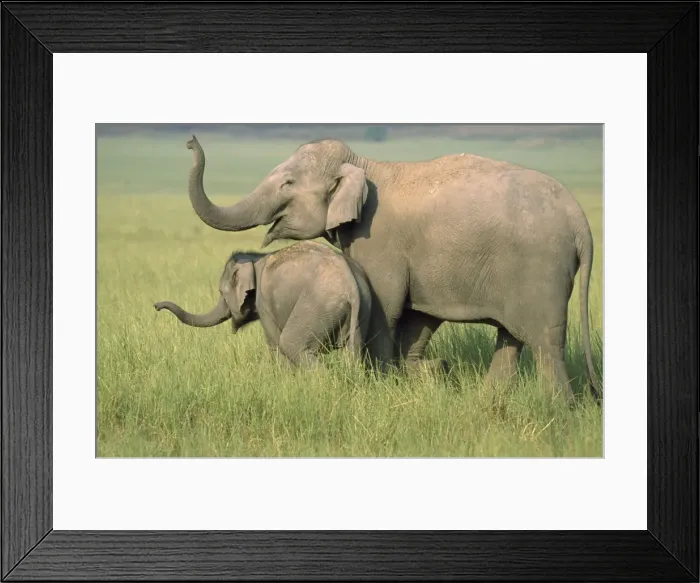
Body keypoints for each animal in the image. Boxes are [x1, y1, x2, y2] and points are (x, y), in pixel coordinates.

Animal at [153, 240, 374, 367]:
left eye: (221, 293)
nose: (156, 306)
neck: (254, 259)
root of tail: (351, 284)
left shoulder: (265, 302)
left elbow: (275, 342)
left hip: (317, 306)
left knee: (292, 345)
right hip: (361, 310)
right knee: (354, 354)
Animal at [183, 134, 602, 404]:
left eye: (288, 183)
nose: (189, 142)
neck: (365, 166)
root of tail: (580, 221)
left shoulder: (378, 240)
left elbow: (385, 307)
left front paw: (384, 386)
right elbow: (414, 319)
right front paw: (425, 376)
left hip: (541, 270)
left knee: (545, 341)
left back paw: (558, 411)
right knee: (511, 337)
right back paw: (490, 403)